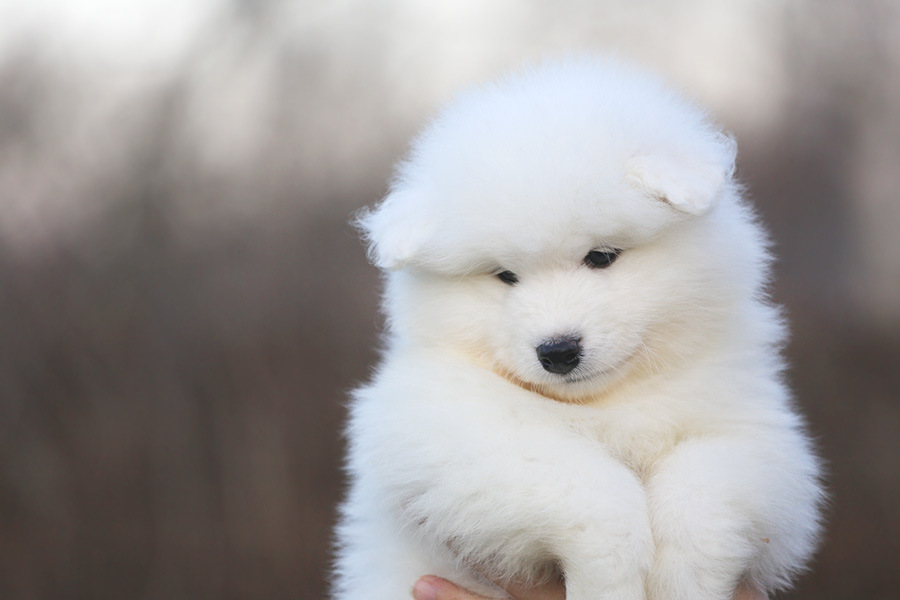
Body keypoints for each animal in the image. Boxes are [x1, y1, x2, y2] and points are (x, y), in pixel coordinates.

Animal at [336, 58, 824, 600]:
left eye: (601, 257)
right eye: (505, 276)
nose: (558, 351)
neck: (603, 405)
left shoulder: (756, 431)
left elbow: (706, 484)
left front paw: (684, 579)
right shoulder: (435, 423)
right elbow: (585, 486)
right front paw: (613, 579)